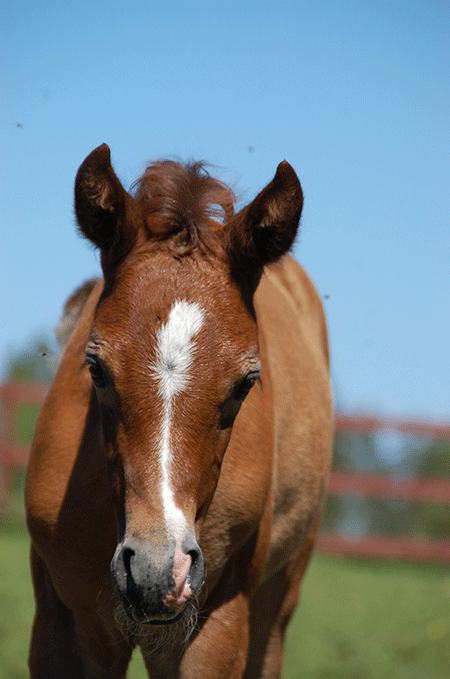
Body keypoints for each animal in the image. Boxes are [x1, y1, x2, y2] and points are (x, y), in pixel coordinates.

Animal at [25, 146, 334, 676]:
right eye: (96, 368)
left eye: (246, 383)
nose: (156, 574)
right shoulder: (61, 623)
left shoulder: (218, 623)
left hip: (277, 602)